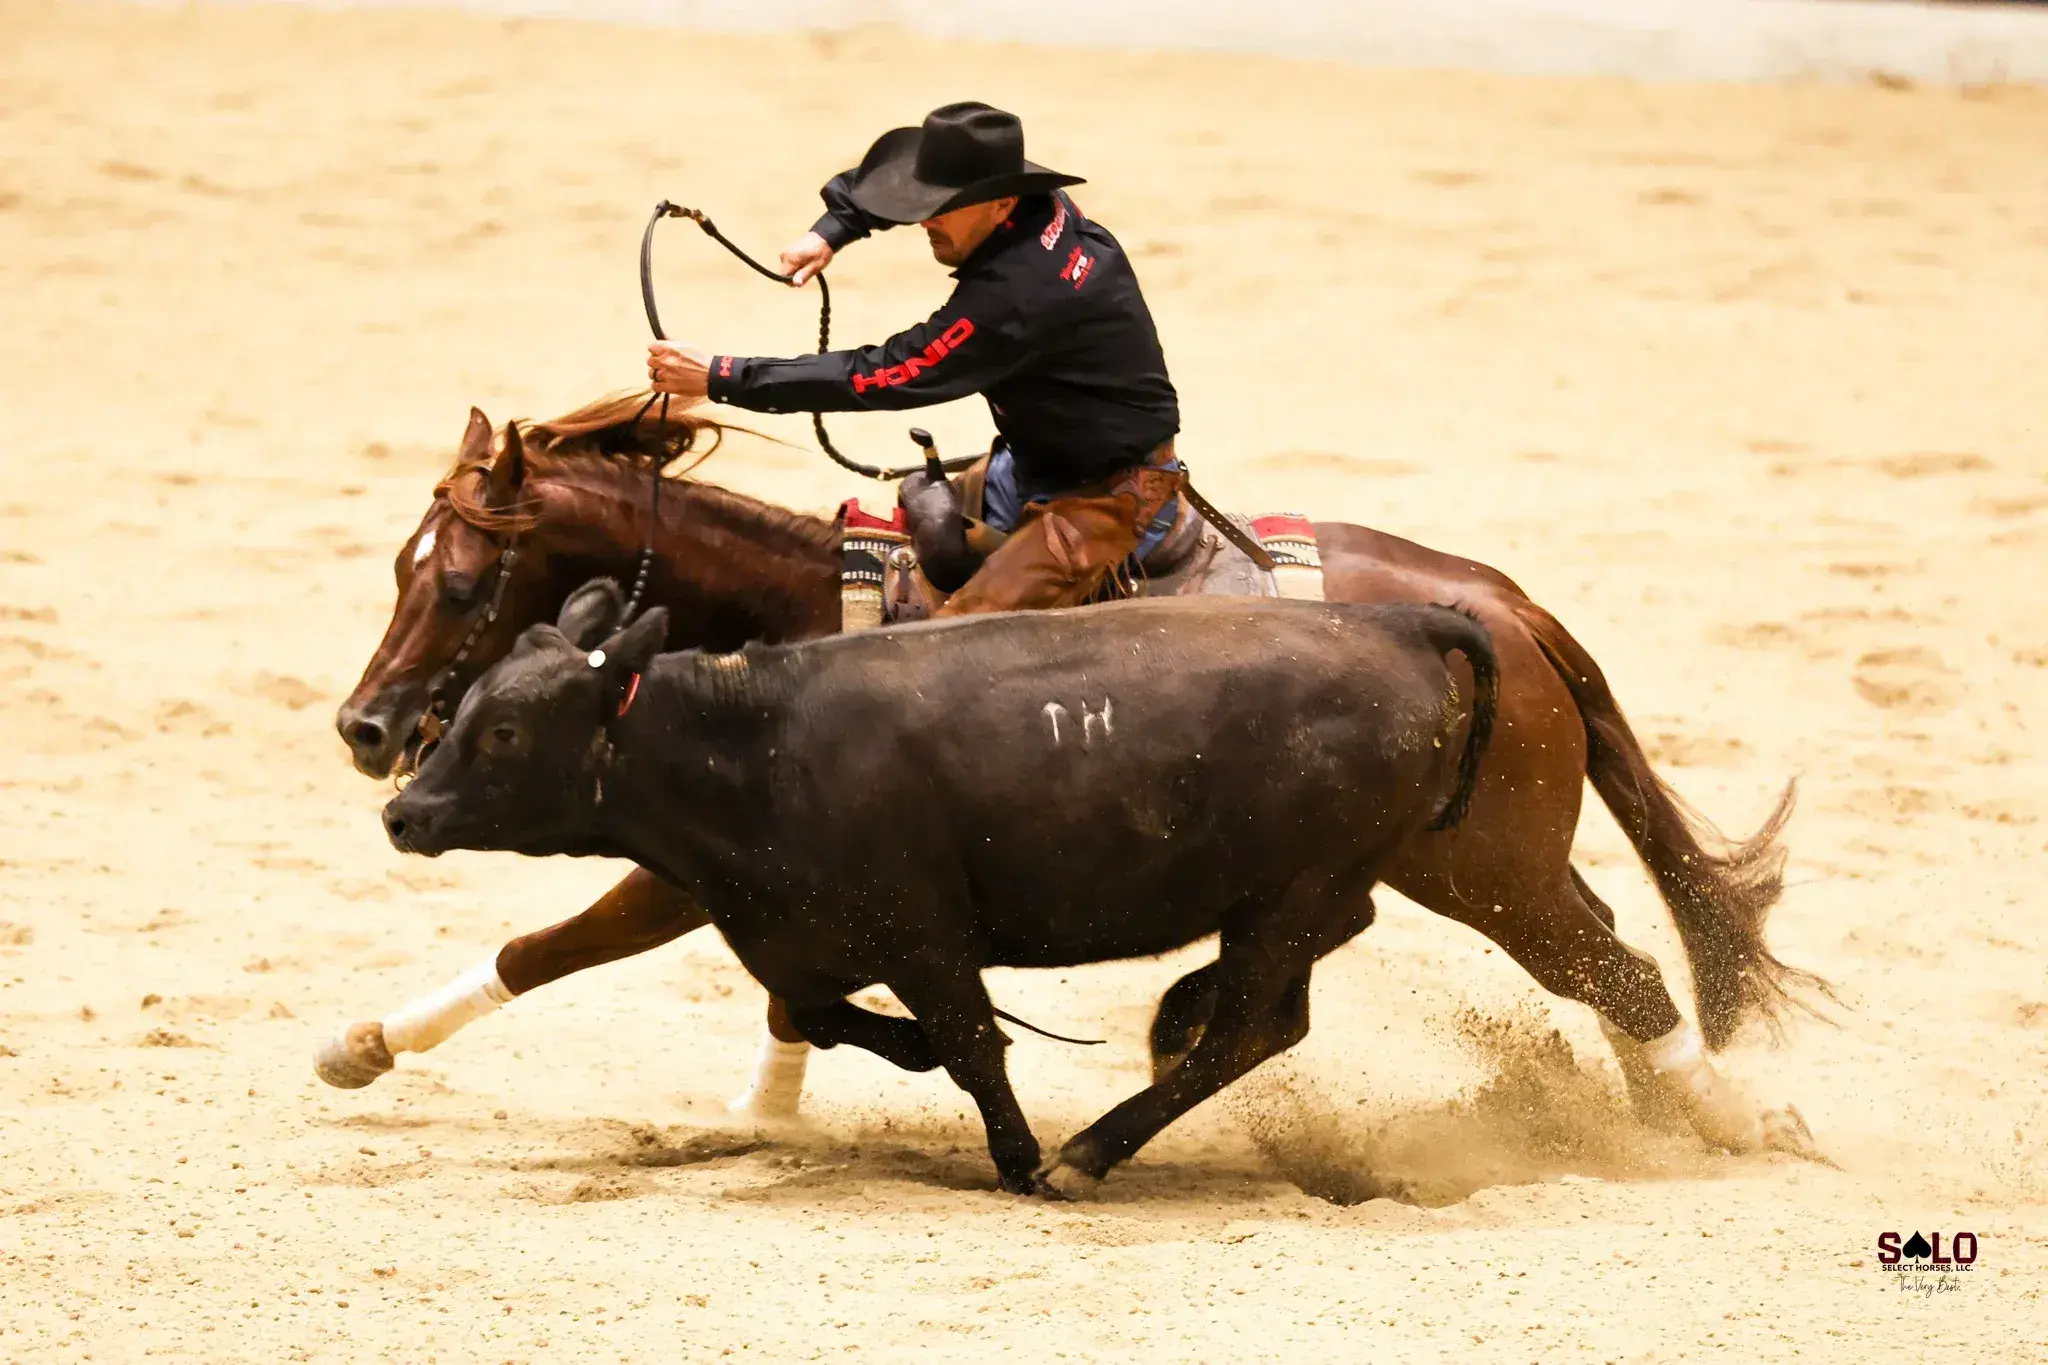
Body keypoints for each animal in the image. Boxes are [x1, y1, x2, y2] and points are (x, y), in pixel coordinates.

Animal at [380, 583, 1500, 1195]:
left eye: (504, 731)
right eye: (467, 711)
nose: (403, 814)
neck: (758, 745)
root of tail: (1394, 624)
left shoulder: (923, 938)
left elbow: (971, 1044)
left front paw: (1018, 1158)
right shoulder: (789, 942)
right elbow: (833, 1020)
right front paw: (913, 1057)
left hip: (1287, 899)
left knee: (1240, 1033)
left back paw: (1087, 1153)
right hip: (1294, 901)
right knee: (1273, 1017)